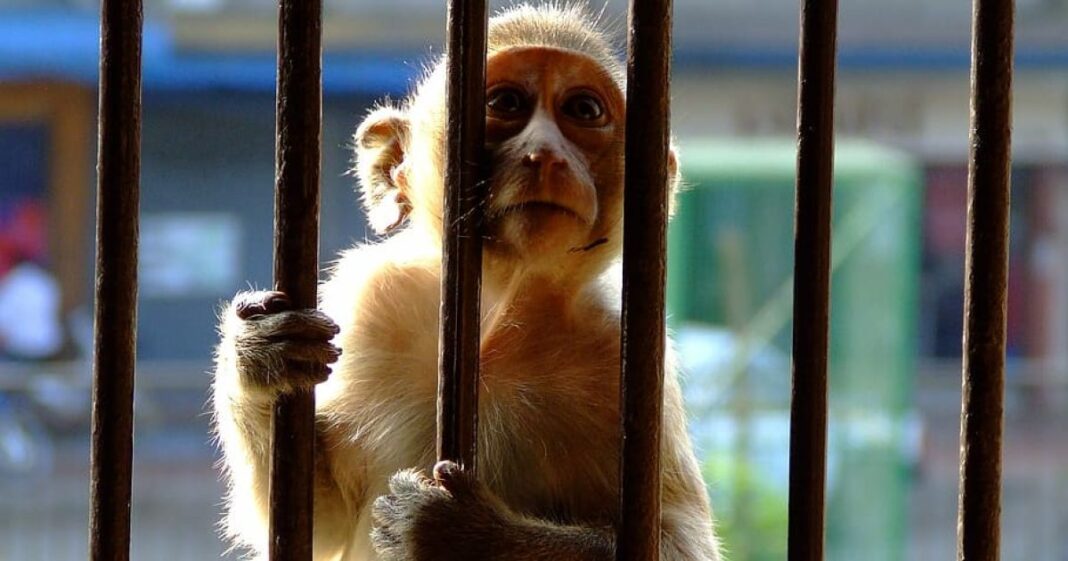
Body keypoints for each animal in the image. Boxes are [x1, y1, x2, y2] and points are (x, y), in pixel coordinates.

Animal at [212, 4, 721, 561]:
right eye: (505, 103)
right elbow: (323, 519)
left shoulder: (621, 357)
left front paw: (461, 532)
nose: (546, 154)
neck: (495, 312)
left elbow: (675, 537)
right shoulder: (373, 303)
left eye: (583, 110)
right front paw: (257, 355)